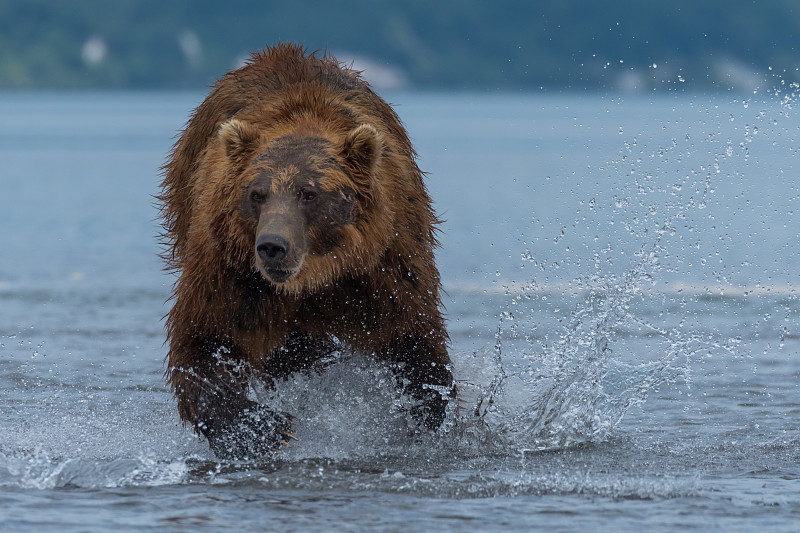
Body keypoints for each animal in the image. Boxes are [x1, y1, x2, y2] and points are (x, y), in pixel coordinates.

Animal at [159, 43, 454, 460]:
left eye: (309, 193)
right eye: (257, 194)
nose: (272, 246)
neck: (314, 279)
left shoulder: (385, 264)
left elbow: (411, 336)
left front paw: (420, 413)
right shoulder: (229, 266)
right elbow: (204, 338)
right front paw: (261, 428)